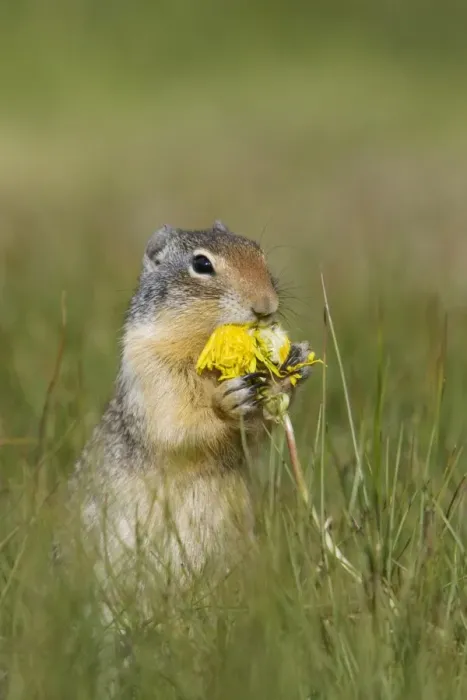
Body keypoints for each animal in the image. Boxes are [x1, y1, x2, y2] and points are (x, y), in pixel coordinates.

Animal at [72, 221, 313, 587]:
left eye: (258, 252)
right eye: (201, 264)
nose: (266, 305)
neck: (204, 349)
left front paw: (291, 366)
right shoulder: (153, 371)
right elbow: (179, 426)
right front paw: (229, 400)